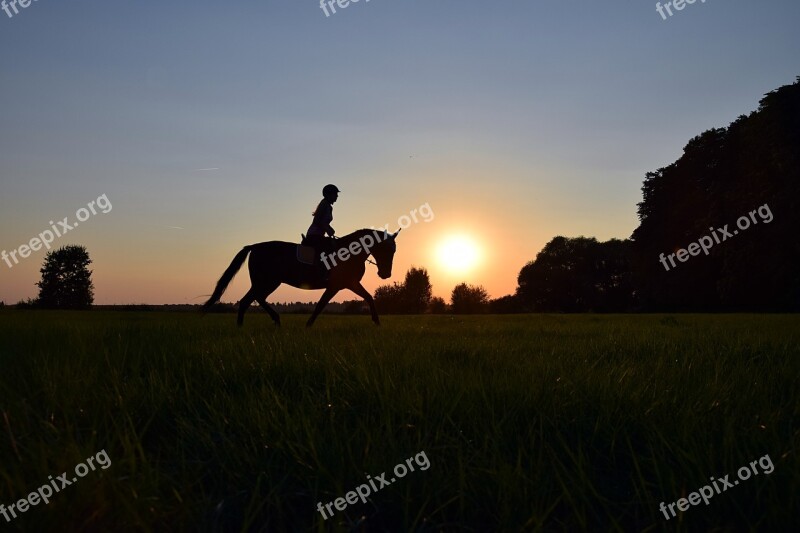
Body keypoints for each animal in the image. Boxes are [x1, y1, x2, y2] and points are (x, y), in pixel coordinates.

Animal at [202, 228, 398, 326]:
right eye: (386, 249)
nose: (385, 274)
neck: (350, 252)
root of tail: (255, 246)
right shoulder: (338, 285)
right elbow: (320, 305)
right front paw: (308, 325)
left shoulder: (350, 283)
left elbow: (369, 297)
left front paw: (377, 321)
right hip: (267, 281)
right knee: (250, 299)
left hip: (267, 281)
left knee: (252, 299)